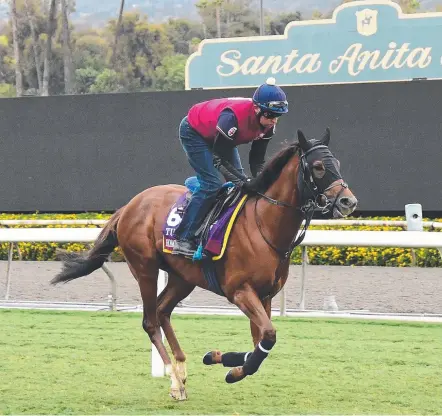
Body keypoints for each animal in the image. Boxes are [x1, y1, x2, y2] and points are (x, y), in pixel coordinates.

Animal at [51, 127, 358, 400]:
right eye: (318, 167)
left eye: (338, 163)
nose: (348, 201)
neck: (264, 226)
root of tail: (129, 206)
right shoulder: (240, 291)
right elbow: (268, 335)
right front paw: (233, 370)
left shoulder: (266, 295)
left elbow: (259, 342)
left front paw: (220, 358)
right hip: (145, 269)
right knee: (150, 321)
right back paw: (174, 380)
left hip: (182, 277)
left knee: (162, 311)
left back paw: (181, 368)